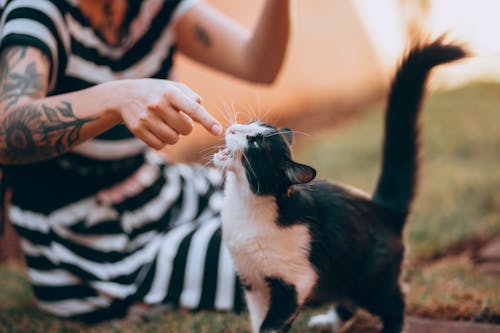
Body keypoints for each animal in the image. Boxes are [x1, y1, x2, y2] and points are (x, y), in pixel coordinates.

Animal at [213, 39, 466, 332]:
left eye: (253, 142)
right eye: (248, 125)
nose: (233, 128)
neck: (245, 204)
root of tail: (382, 207)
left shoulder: (295, 280)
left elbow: (272, 324)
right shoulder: (252, 281)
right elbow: (257, 319)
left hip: (369, 281)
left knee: (395, 301)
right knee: (349, 299)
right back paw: (329, 322)